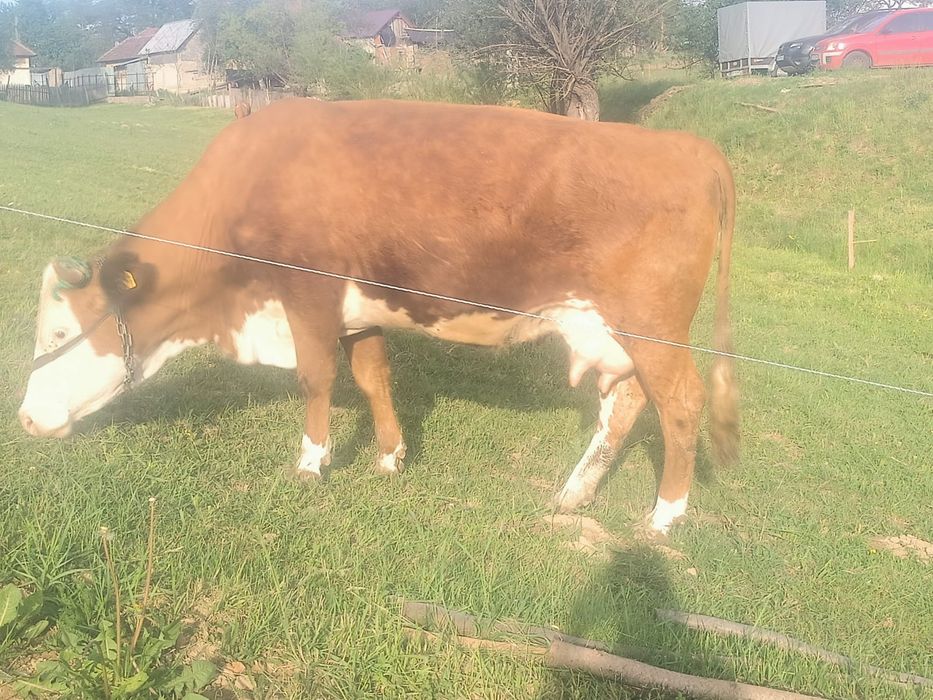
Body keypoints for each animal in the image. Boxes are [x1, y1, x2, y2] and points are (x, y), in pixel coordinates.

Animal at [18, 98, 739, 535]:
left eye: (60, 331)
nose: (24, 419)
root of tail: (690, 146)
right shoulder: (356, 305)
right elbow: (371, 376)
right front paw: (390, 456)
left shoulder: (307, 291)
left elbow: (315, 378)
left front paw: (311, 465)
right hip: (608, 330)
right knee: (625, 405)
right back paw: (573, 494)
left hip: (651, 326)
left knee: (680, 402)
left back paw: (663, 516)